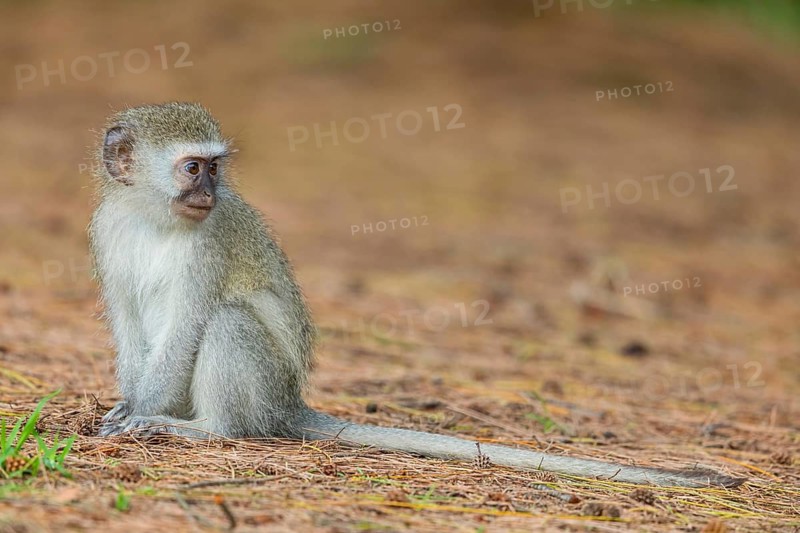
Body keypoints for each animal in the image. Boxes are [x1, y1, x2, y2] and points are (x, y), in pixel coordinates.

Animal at [88, 102, 743, 489]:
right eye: (192, 168)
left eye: (213, 169)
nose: (210, 192)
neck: (154, 217)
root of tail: (289, 405)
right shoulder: (109, 230)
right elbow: (128, 323)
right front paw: (125, 404)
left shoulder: (209, 246)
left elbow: (189, 325)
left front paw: (141, 414)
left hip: (265, 392)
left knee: (228, 321)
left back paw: (209, 430)